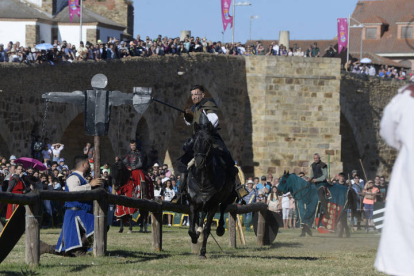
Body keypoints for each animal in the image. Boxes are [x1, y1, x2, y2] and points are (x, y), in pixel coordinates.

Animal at [186, 112, 238, 258]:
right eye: (194, 141)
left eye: (208, 142)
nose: (199, 161)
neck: (203, 181)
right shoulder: (193, 203)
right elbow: (191, 229)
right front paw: (195, 237)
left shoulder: (213, 205)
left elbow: (208, 228)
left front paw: (202, 252)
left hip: (228, 197)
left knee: (223, 208)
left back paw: (219, 229)